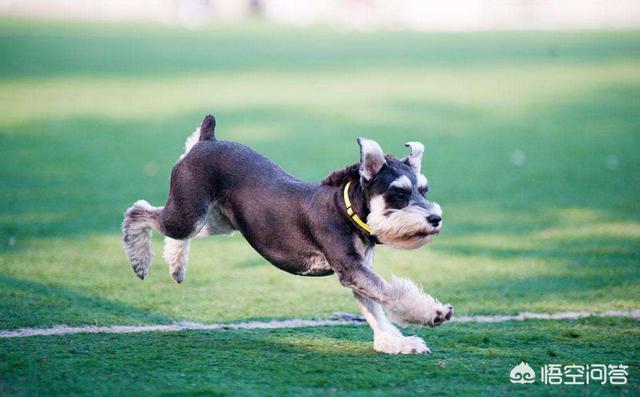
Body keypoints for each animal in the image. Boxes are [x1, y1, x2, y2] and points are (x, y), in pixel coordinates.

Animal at [122, 113, 452, 352]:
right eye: (399, 194)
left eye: (424, 190)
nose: (435, 218)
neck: (346, 210)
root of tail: (205, 140)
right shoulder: (351, 268)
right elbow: (392, 294)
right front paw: (433, 313)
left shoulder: (358, 272)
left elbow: (376, 310)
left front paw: (396, 343)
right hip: (189, 213)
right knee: (138, 212)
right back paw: (139, 262)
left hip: (214, 221)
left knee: (173, 230)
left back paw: (176, 266)